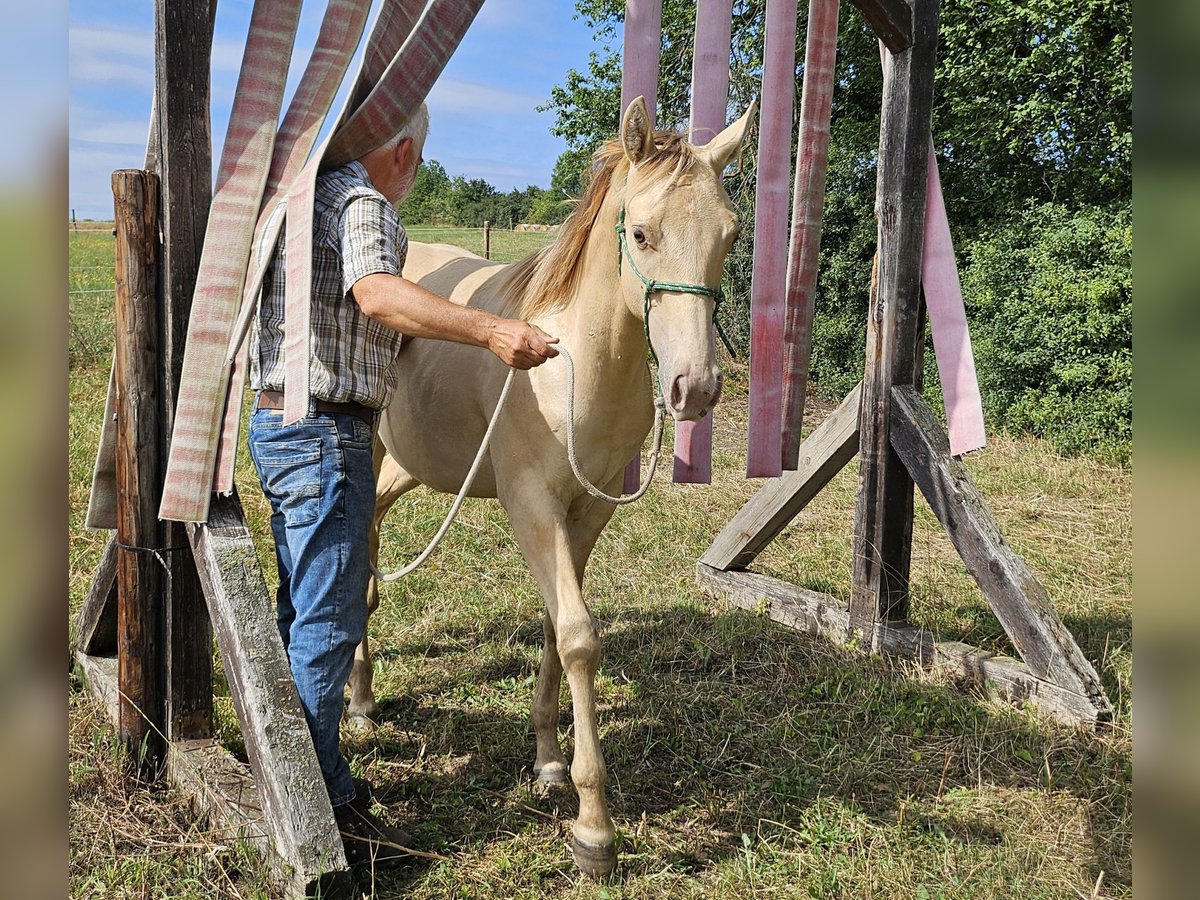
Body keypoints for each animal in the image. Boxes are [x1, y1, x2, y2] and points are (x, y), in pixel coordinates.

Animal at [350, 100, 753, 883]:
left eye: (730, 233)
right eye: (641, 233)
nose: (694, 389)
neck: (571, 367)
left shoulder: (584, 514)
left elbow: (553, 628)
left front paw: (548, 764)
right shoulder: (532, 506)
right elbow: (579, 637)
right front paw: (594, 829)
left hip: (411, 466)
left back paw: (360, 689)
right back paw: (355, 695)